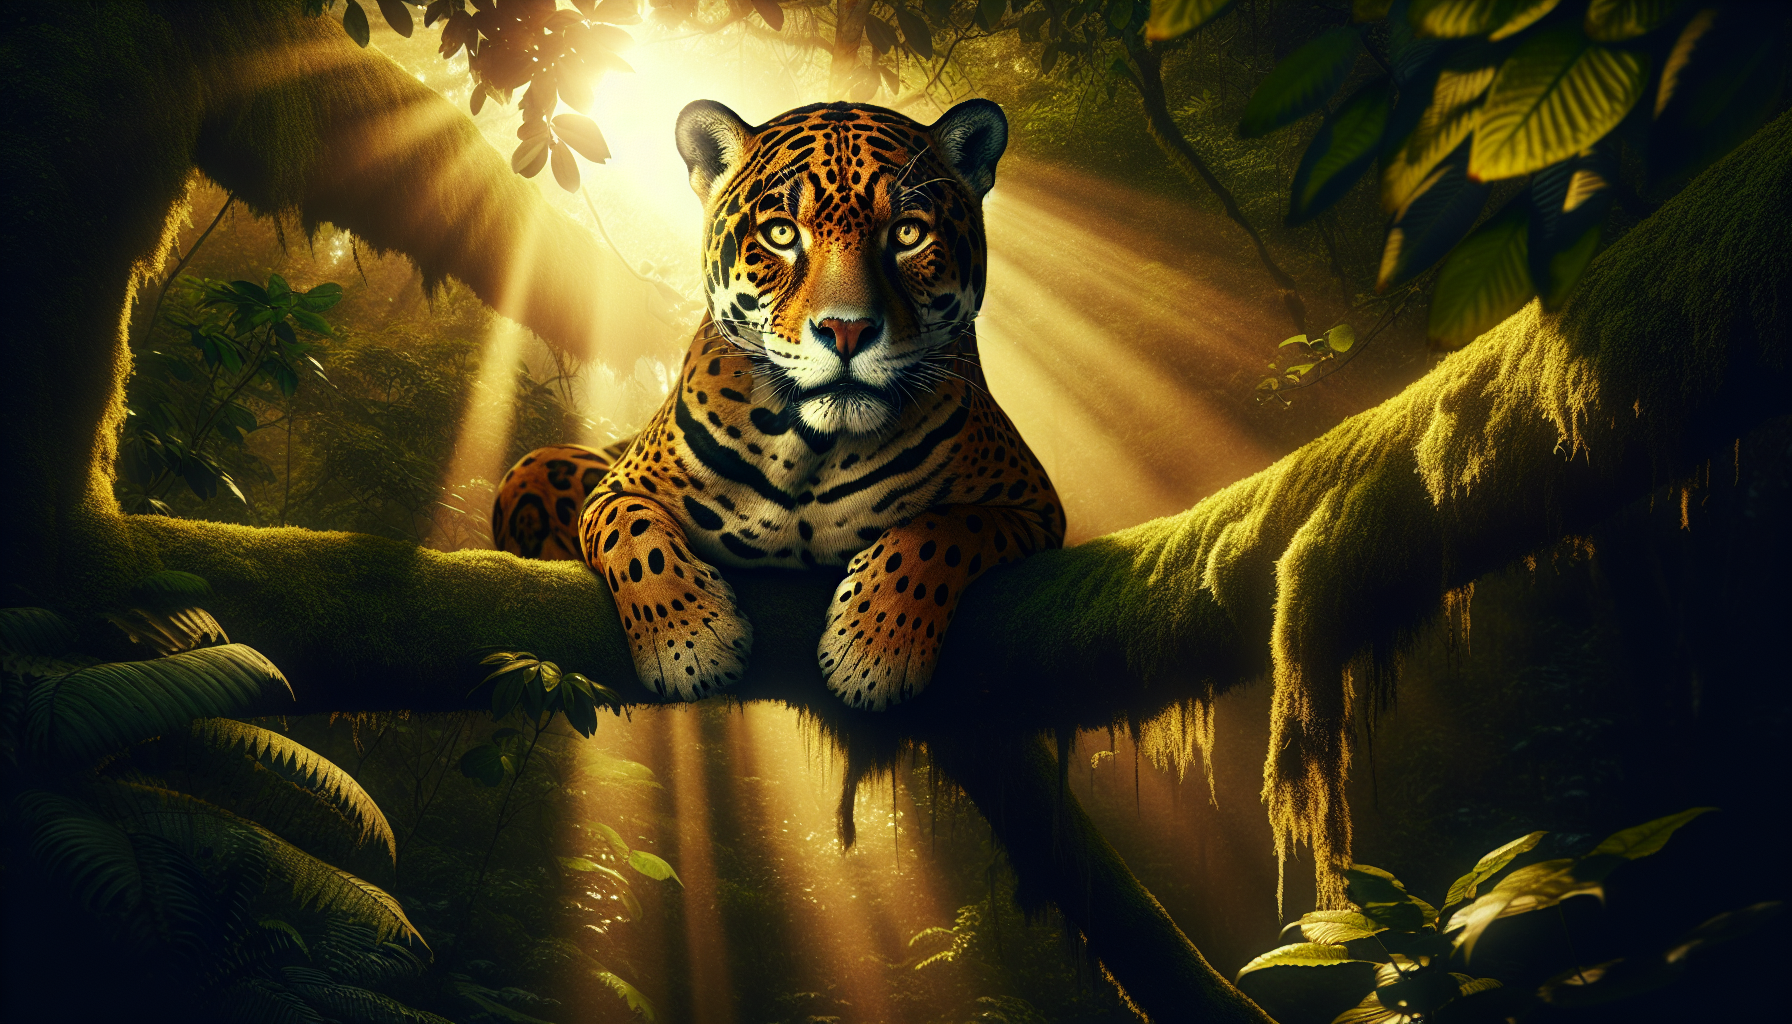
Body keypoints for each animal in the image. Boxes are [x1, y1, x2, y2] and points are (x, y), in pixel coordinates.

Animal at [491, 98, 1063, 710]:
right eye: (782, 233)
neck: (813, 447)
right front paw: (689, 645)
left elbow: (944, 530)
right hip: (536, 465)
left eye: (909, 233)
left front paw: (873, 653)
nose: (846, 330)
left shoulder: (1035, 506)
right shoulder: (616, 488)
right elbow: (637, 538)